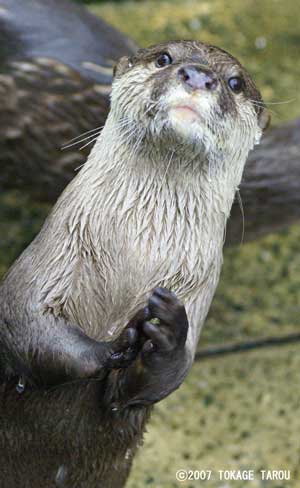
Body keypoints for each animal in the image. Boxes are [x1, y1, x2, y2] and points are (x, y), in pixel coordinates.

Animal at [0, 40, 268, 486]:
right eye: (164, 58)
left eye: (235, 83)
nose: (199, 75)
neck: (138, 250)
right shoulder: (49, 258)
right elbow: (25, 321)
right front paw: (112, 347)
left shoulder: (199, 287)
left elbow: (165, 376)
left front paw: (166, 332)